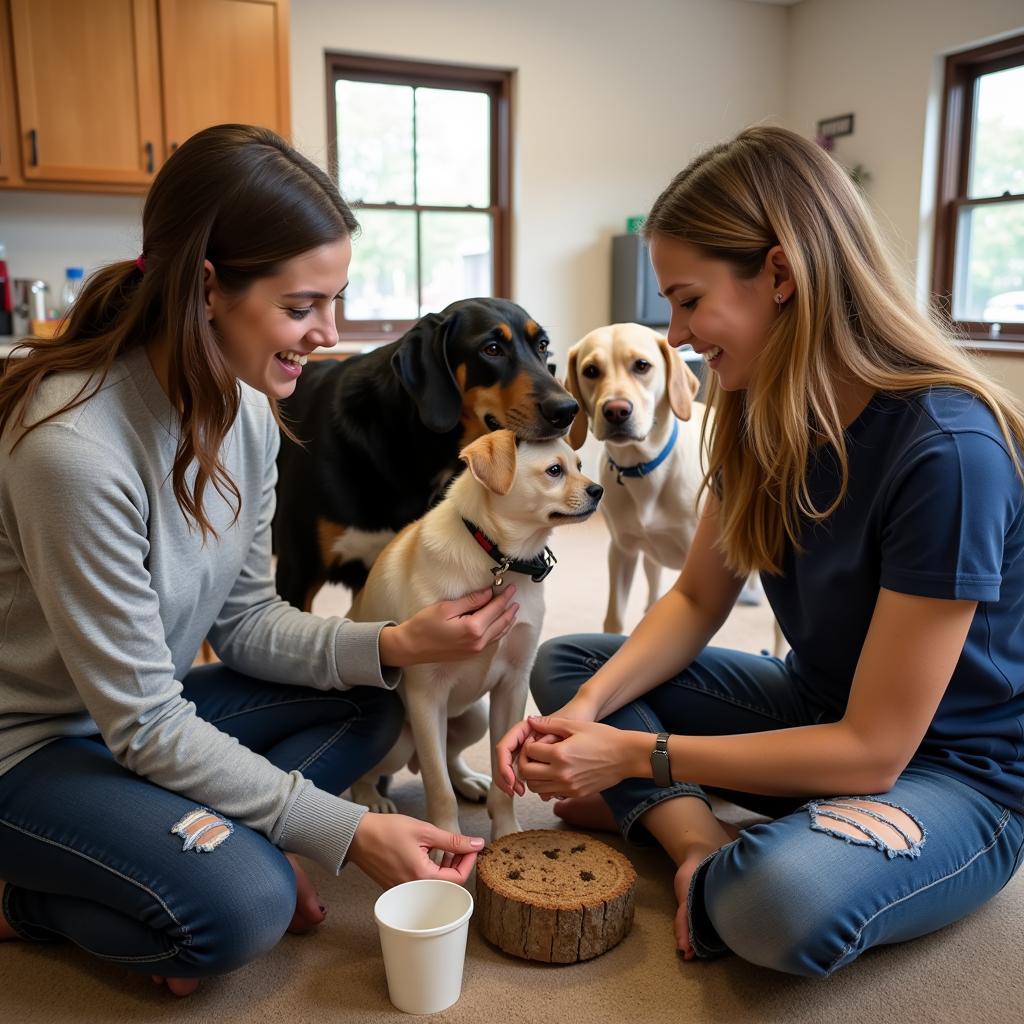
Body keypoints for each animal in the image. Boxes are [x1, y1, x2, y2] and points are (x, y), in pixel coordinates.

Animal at [348, 430, 598, 839]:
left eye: (578, 464)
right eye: (554, 471)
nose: (599, 490)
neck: (499, 561)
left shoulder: (513, 686)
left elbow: (503, 775)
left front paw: (507, 831)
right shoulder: (426, 696)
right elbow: (438, 788)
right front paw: (445, 841)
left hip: (475, 717)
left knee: (450, 757)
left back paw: (468, 780)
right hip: (401, 742)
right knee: (374, 773)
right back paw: (371, 799)